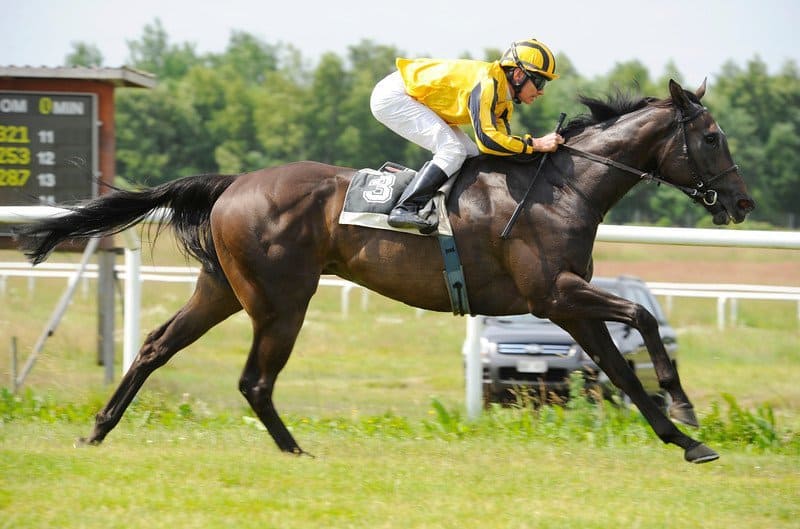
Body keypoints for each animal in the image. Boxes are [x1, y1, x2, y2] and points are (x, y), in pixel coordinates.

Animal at [18, 79, 756, 462]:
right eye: (712, 135)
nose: (743, 202)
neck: (561, 186)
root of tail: (234, 184)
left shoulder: (564, 304)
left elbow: (621, 368)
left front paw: (684, 439)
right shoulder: (556, 292)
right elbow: (642, 316)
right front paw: (684, 404)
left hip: (223, 289)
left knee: (155, 346)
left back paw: (99, 428)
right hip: (281, 300)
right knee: (255, 379)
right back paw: (293, 450)